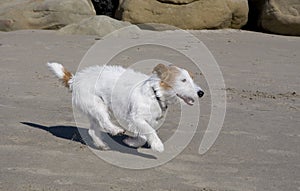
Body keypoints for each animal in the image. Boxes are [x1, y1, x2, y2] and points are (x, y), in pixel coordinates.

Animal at [48, 62, 204, 152]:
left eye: (192, 79)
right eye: (183, 80)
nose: (201, 93)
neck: (155, 94)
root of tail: (75, 79)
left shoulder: (143, 121)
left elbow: (143, 136)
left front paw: (131, 142)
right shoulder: (137, 118)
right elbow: (150, 132)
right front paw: (158, 145)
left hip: (94, 111)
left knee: (93, 131)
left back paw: (101, 145)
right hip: (98, 106)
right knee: (105, 122)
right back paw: (115, 130)